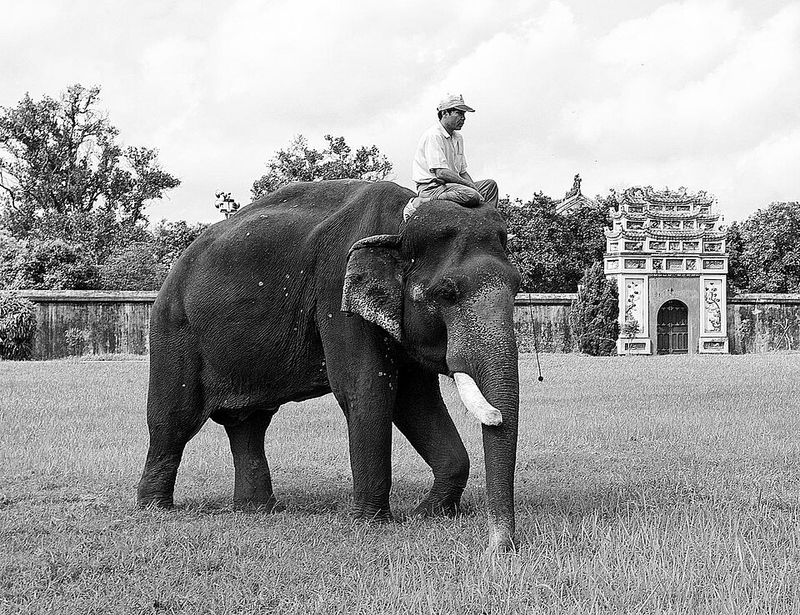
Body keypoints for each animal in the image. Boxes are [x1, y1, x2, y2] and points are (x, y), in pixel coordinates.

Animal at [137, 179, 522, 552]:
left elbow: (416, 401)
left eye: (517, 288)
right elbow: (367, 391)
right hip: (174, 330)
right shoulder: (337, 293)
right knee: (173, 421)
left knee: (249, 423)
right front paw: (372, 523)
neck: (400, 221)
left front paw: (426, 513)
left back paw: (257, 509)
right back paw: (156, 508)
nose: (498, 549)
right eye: (446, 293)